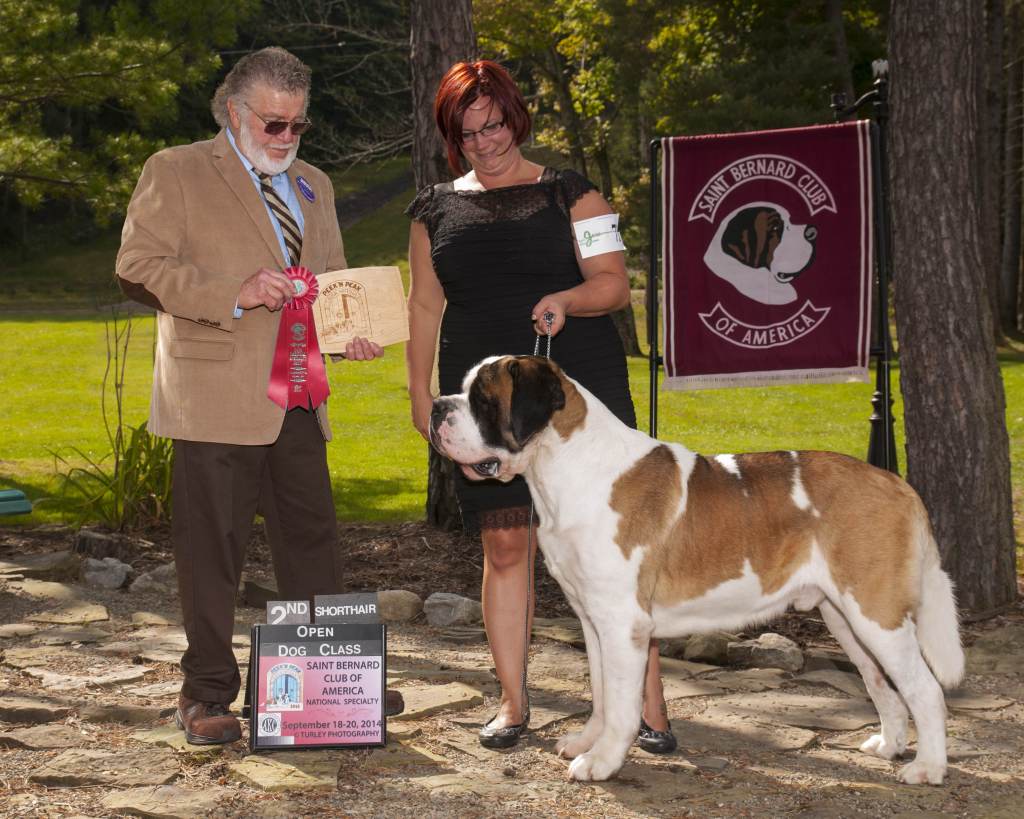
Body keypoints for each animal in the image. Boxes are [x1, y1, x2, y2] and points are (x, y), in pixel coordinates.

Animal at [430, 355, 964, 785]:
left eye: (482, 400)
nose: (436, 406)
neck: (564, 467)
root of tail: (895, 482)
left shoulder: (622, 624)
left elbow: (622, 703)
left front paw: (601, 763)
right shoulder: (592, 621)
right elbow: (602, 693)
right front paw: (585, 742)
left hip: (876, 613)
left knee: (925, 690)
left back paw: (927, 769)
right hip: (846, 617)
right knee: (881, 683)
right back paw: (889, 746)